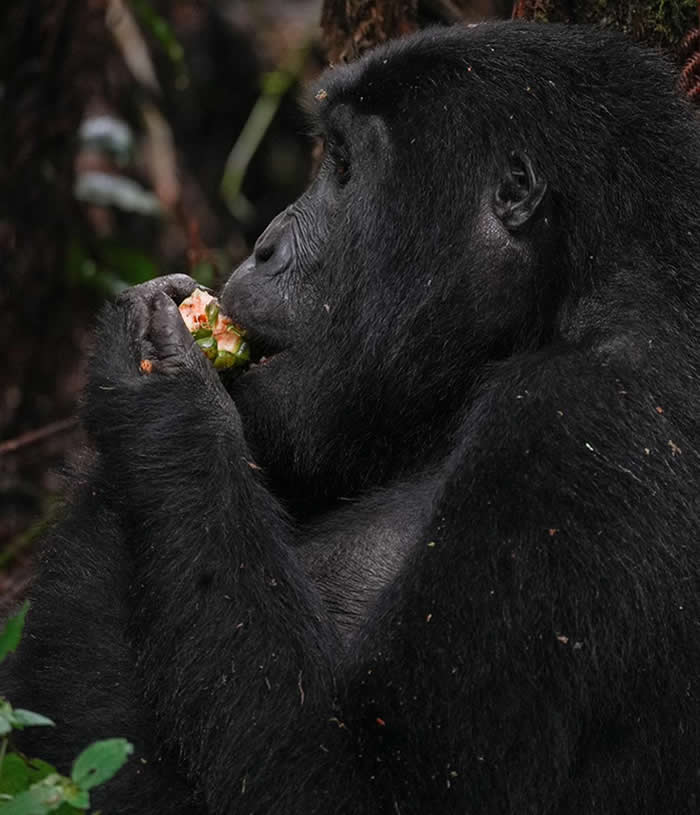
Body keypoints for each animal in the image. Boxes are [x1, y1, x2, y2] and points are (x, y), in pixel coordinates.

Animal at [4, 19, 700, 815]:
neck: (559, 304)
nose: (264, 244)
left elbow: (375, 781)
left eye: (342, 166)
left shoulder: (579, 424)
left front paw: (159, 398)